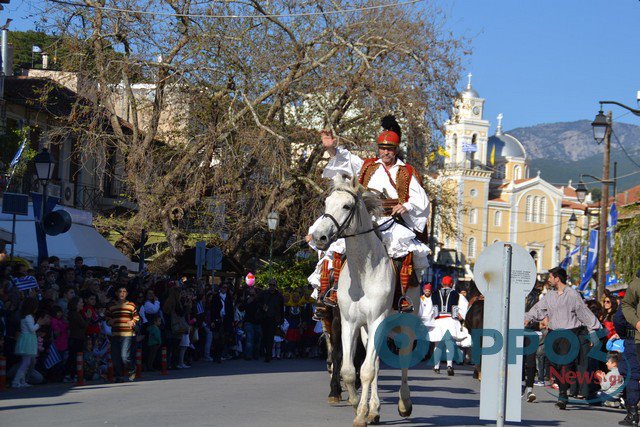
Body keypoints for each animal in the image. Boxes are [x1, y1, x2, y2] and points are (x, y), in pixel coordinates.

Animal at [308, 175, 418, 427]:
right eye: (326, 203)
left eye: (346, 206)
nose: (319, 237)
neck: (365, 270)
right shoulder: (349, 322)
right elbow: (350, 369)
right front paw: (359, 405)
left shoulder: (378, 320)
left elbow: (366, 370)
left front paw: (360, 414)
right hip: (366, 330)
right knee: (373, 363)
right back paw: (374, 410)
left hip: (405, 324)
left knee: (404, 358)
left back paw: (404, 404)